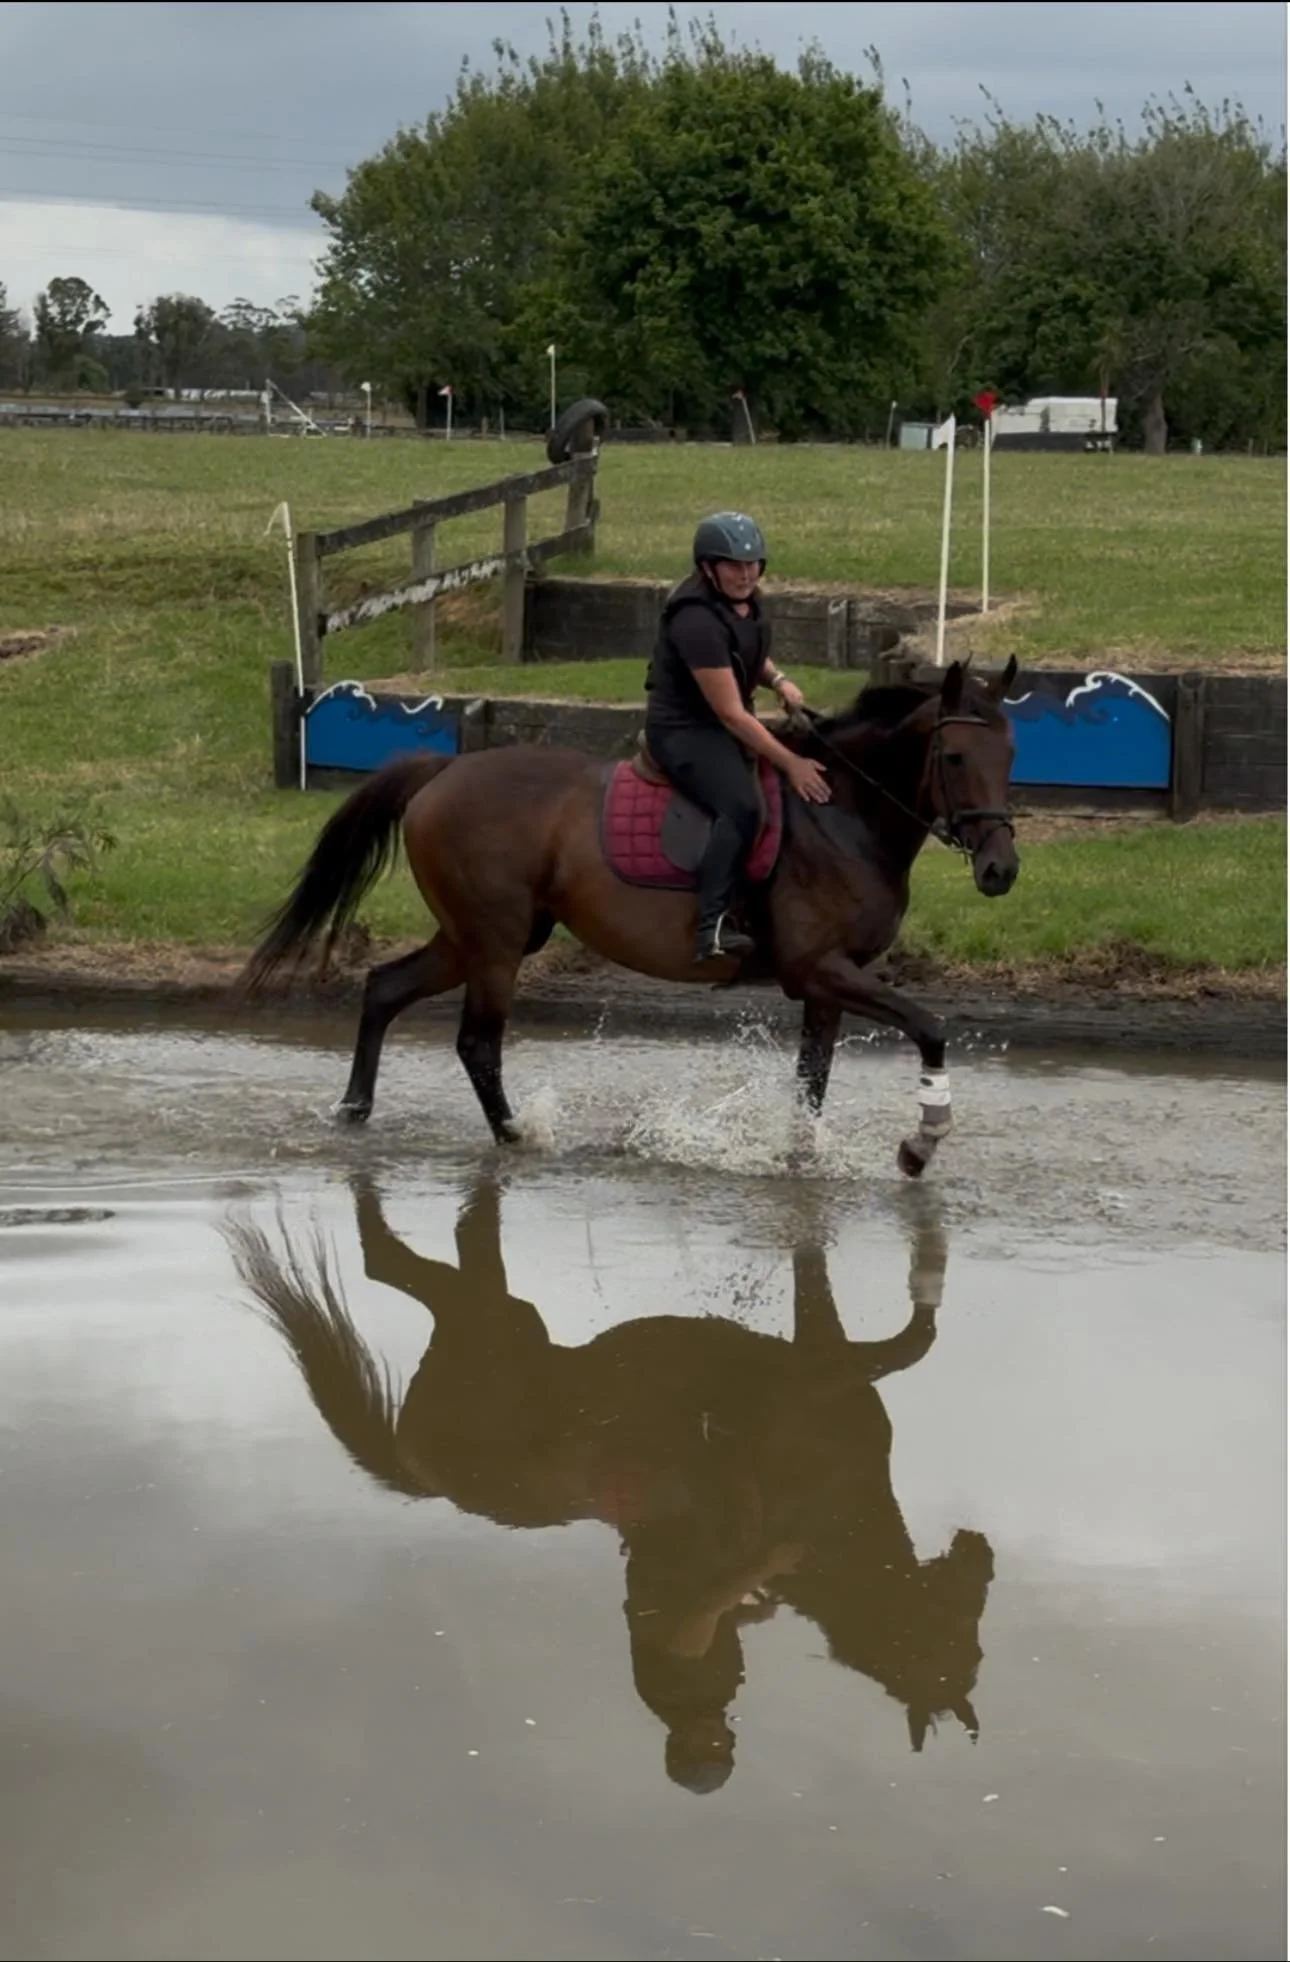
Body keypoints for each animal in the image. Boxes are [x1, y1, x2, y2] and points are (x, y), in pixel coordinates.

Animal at [224, 1178, 995, 1794]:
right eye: (960, 1648)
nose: (981, 1552)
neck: (833, 1517)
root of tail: (426, 1470)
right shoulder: (823, 1369)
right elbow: (905, 1346)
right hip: (493, 1316)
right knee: (404, 1261)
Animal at [240, 657, 1019, 1176]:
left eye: (1012, 753)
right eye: (954, 756)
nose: (1001, 871)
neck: (842, 814)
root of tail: (443, 771)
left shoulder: (829, 984)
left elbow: (812, 1081)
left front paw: (798, 1158)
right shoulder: (820, 970)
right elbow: (930, 1028)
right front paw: (921, 1141)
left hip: (479, 936)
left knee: (384, 990)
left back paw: (354, 1113)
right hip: (493, 943)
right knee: (477, 1043)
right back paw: (517, 1137)